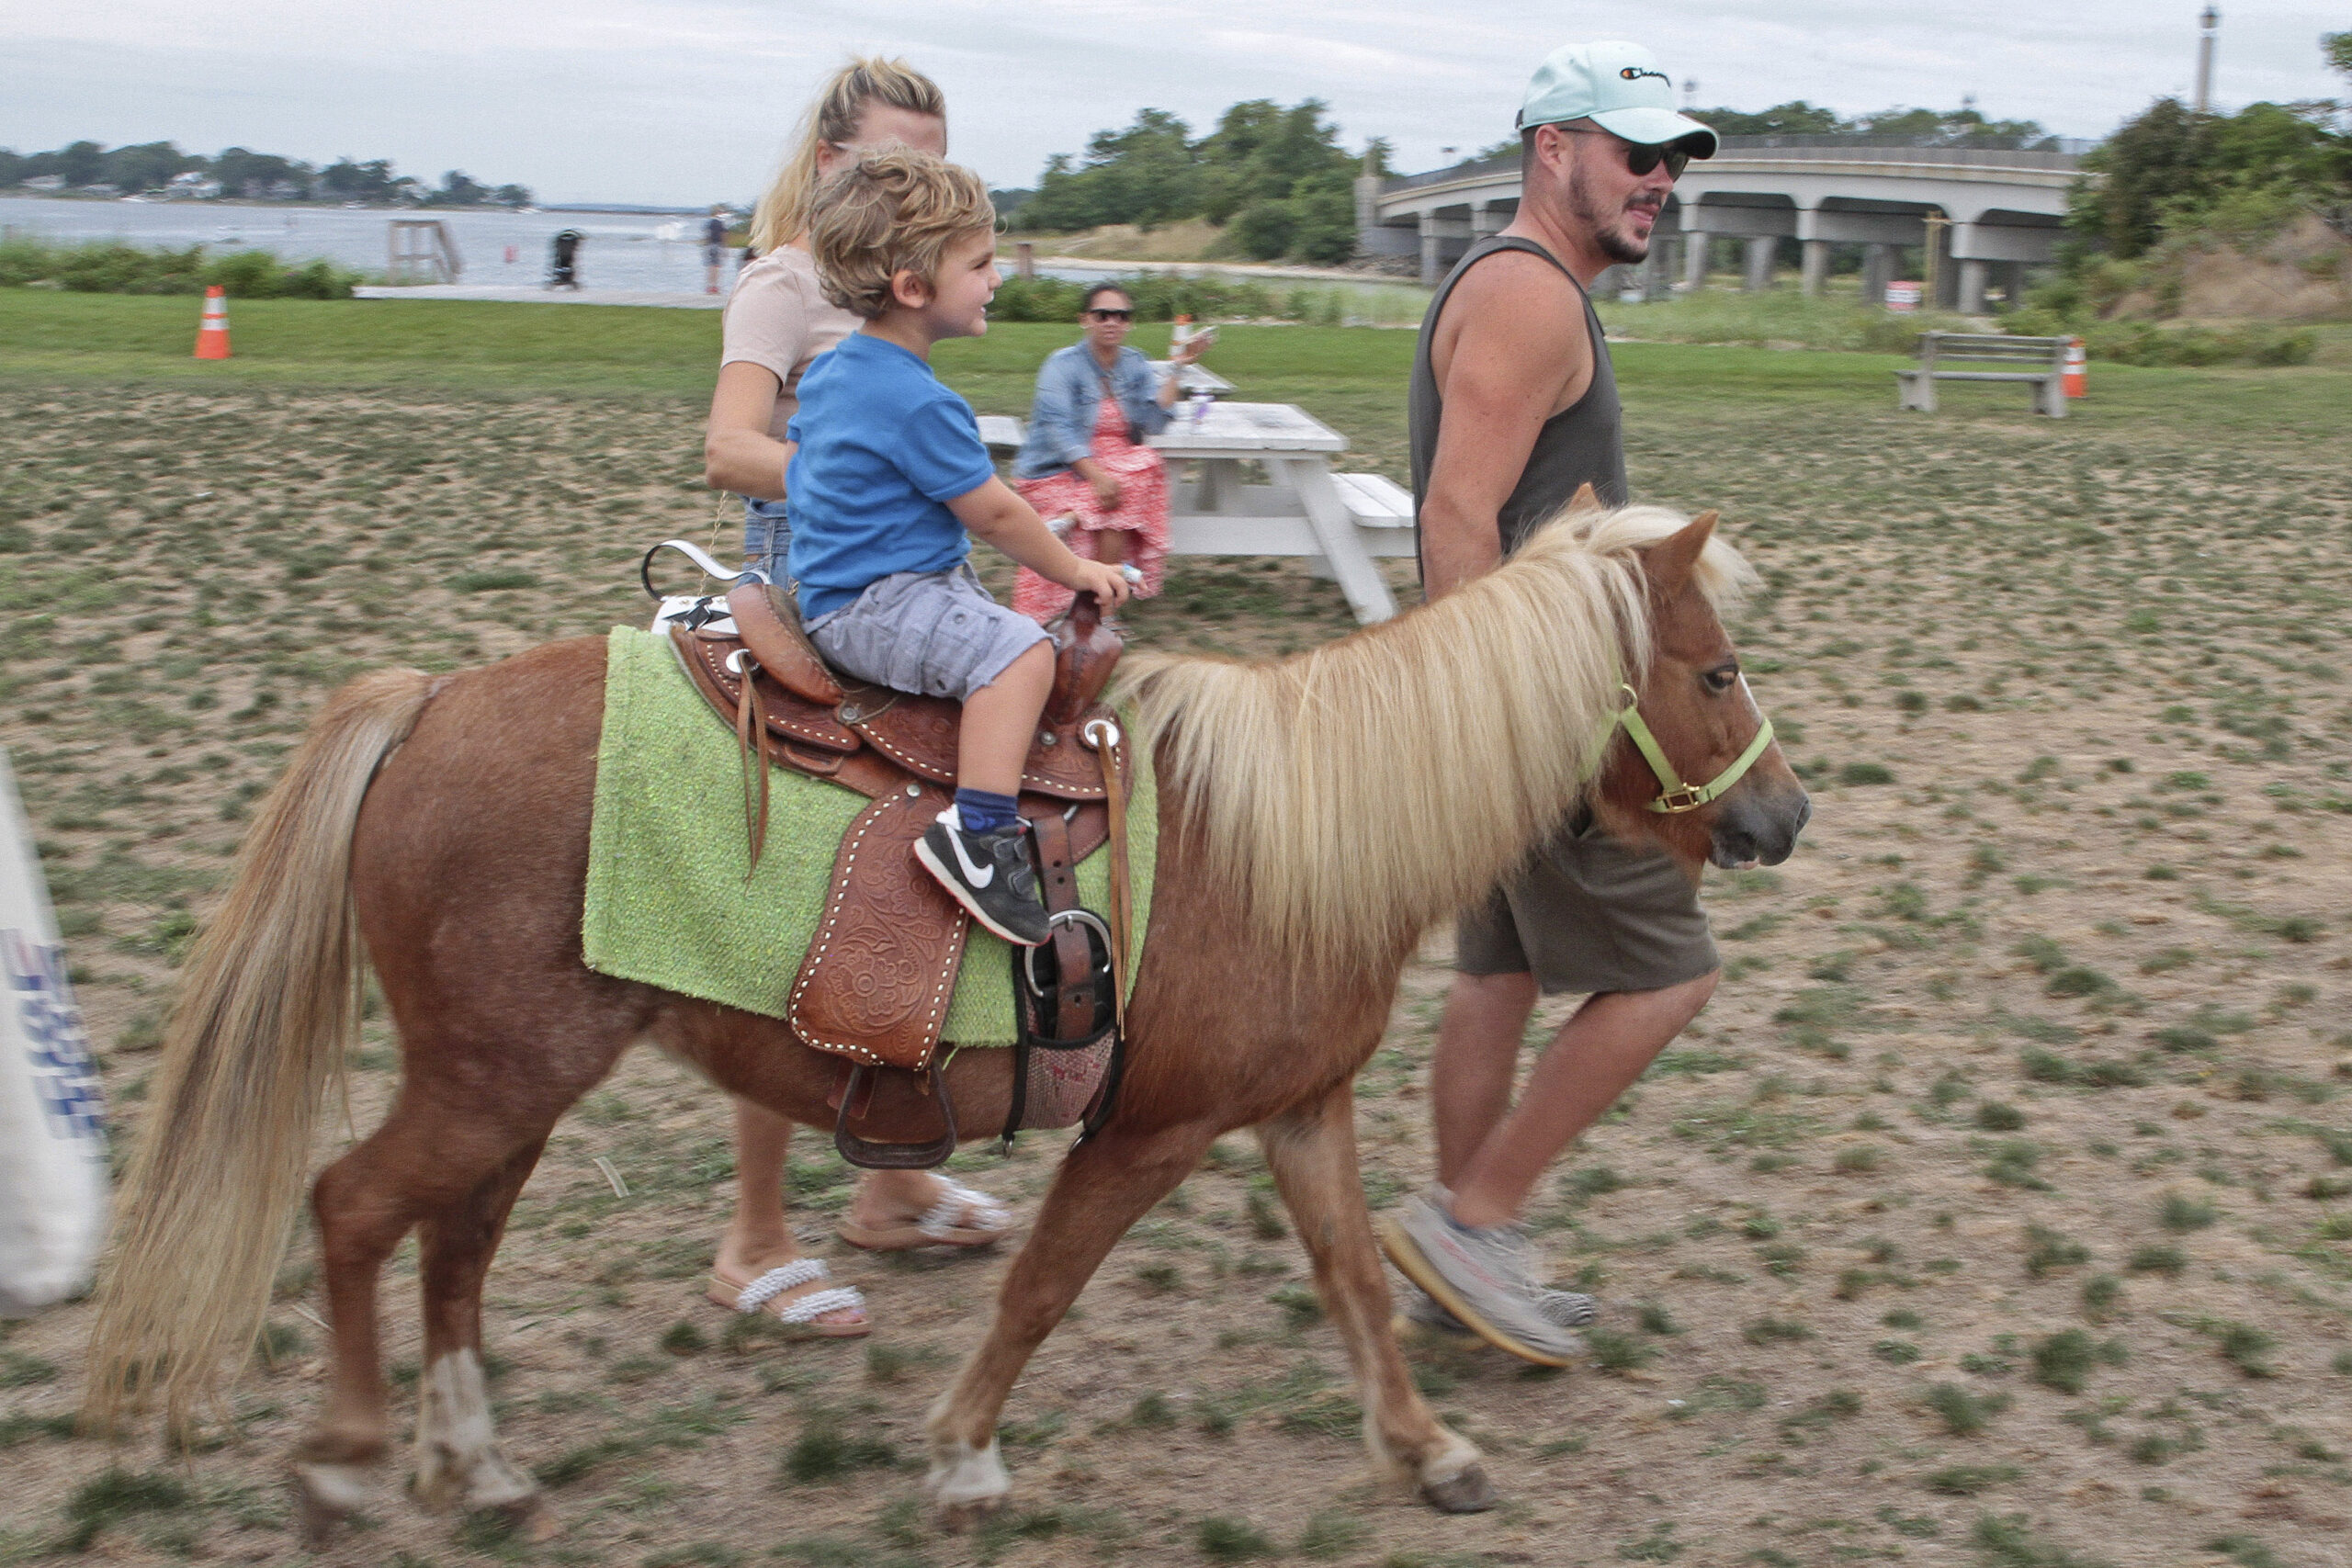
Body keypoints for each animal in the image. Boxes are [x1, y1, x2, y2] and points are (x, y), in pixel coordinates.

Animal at [74, 501, 1796, 1532]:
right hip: (490, 1078)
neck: (1290, 833)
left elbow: (1360, 1282)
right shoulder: (1151, 1129)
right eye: (1716, 669)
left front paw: (1430, 1448)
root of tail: (426, 704)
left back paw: (477, 1462)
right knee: (354, 1209)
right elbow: (1040, 1289)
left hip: (514, 1077)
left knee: (455, 1241)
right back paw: (350, 1461)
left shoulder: (1300, 1109)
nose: (1782, 814)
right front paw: (964, 1450)